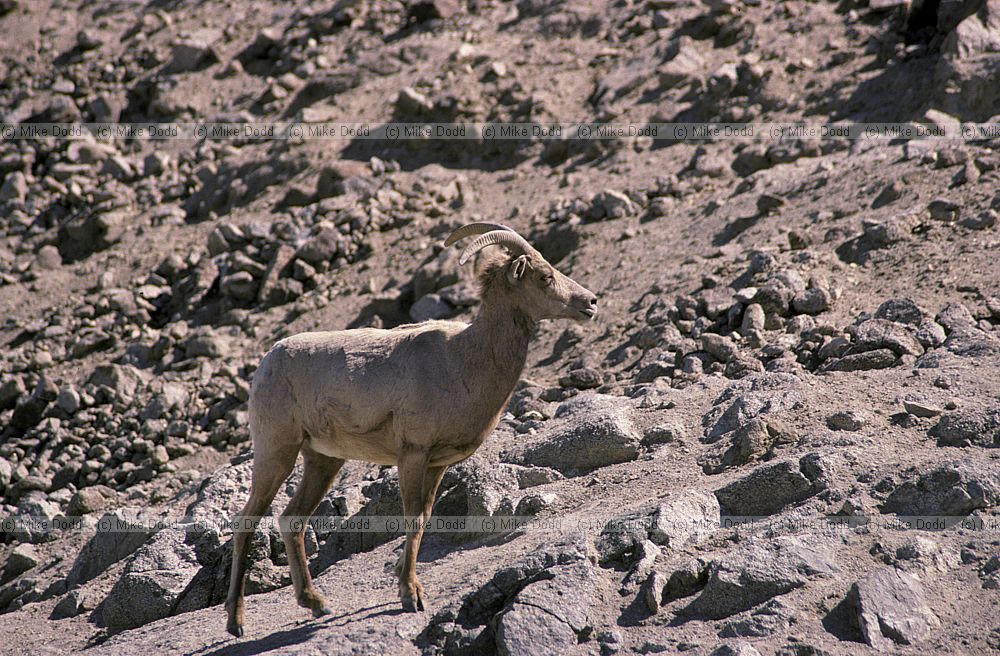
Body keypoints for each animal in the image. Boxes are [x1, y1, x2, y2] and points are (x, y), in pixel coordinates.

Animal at [227, 220, 596, 636]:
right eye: (544, 276)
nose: (591, 303)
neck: (464, 361)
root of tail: (267, 362)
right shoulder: (413, 456)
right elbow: (414, 521)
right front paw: (410, 597)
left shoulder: (437, 465)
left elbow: (424, 521)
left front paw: (411, 590)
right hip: (277, 453)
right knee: (246, 522)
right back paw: (236, 623)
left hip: (322, 461)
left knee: (292, 521)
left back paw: (317, 604)